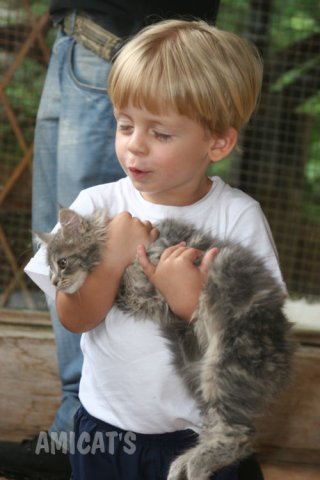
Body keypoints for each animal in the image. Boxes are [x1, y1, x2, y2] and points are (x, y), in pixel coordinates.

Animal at [37, 207, 296, 480]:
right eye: (49, 269)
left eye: (62, 263)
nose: (54, 283)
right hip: (196, 373)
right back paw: (184, 462)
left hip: (227, 362)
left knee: (240, 437)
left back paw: (195, 466)